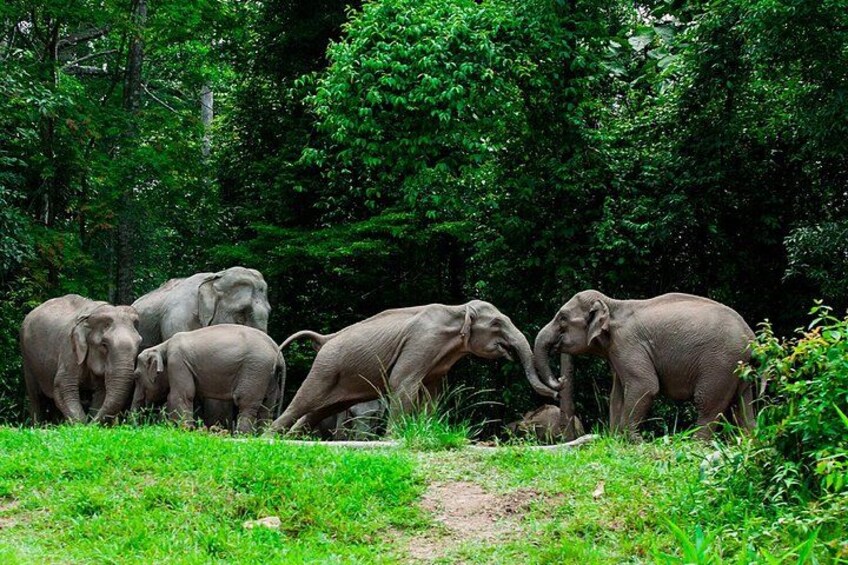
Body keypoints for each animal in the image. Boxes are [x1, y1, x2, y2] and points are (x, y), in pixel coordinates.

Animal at [20, 295, 143, 424]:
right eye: (104, 344)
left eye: (139, 343)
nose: (92, 422)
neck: (89, 318)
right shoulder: (70, 351)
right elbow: (62, 386)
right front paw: (82, 424)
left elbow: (101, 392)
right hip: (27, 357)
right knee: (36, 396)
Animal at [134, 324, 285, 433]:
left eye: (136, 375)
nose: (135, 426)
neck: (162, 346)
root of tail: (278, 352)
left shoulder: (177, 361)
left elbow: (181, 395)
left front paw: (184, 431)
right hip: (269, 376)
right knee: (267, 406)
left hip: (256, 368)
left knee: (246, 403)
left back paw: (242, 435)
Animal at [271, 300, 559, 434]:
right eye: (497, 324)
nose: (559, 386)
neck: (457, 310)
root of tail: (324, 339)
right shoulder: (422, 342)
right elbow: (402, 382)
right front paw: (393, 438)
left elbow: (433, 393)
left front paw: (427, 427)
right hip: (326, 368)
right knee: (304, 402)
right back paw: (268, 437)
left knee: (316, 411)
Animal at [534, 290, 756, 440]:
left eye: (562, 318)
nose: (561, 380)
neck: (612, 305)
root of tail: (751, 336)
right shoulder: (617, 351)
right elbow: (616, 395)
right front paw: (615, 439)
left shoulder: (628, 344)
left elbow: (645, 386)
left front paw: (632, 440)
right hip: (737, 368)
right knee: (743, 405)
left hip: (721, 363)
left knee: (708, 405)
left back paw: (696, 444)